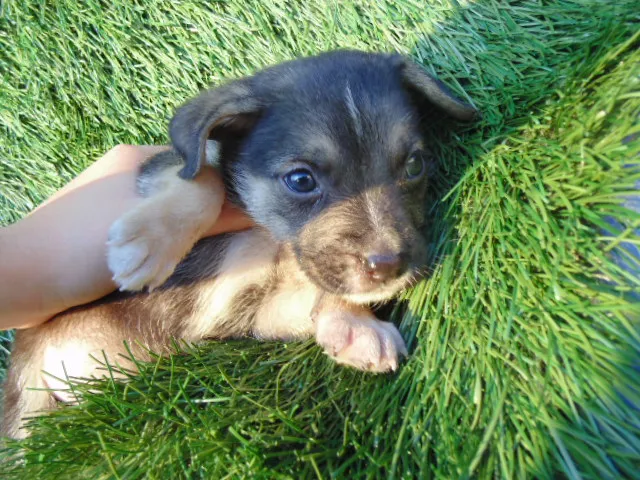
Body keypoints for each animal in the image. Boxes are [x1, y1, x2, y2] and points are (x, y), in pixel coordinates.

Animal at [1, 49, 476, 438]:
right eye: (301, 179)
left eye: (414, 165)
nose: (389, 267)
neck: (273, 239)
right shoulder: (160, 166)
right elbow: (203, 180)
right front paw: (147, 243)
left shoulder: (262, 313)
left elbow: (324, 290)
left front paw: (354, 325)